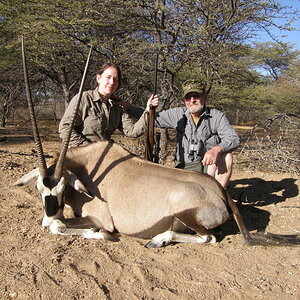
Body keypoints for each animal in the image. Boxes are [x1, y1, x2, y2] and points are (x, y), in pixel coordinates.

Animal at [15, 37, 300, 247]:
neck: (87, 168)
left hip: (187, 216)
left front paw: (99, 234)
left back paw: (158, 239)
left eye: (63, 189)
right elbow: (56, 224)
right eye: (39, 189)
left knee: (209, 237)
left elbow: (59, 225)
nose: (46, 216)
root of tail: (220, 193)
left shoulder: (101, 216)